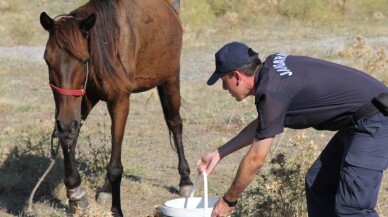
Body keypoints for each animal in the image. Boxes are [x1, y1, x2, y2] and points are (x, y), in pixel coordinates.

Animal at [38, 0, 192, 215]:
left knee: (175, 123)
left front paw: (116, 209)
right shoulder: (80, 102)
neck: (105, 45)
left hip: (170, 79)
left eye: (84, 60)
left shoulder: (120, 102)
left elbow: (115, 166)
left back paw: (185, 179)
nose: (65, 124)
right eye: (47, 60)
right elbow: (69, 140)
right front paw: (75, 193)